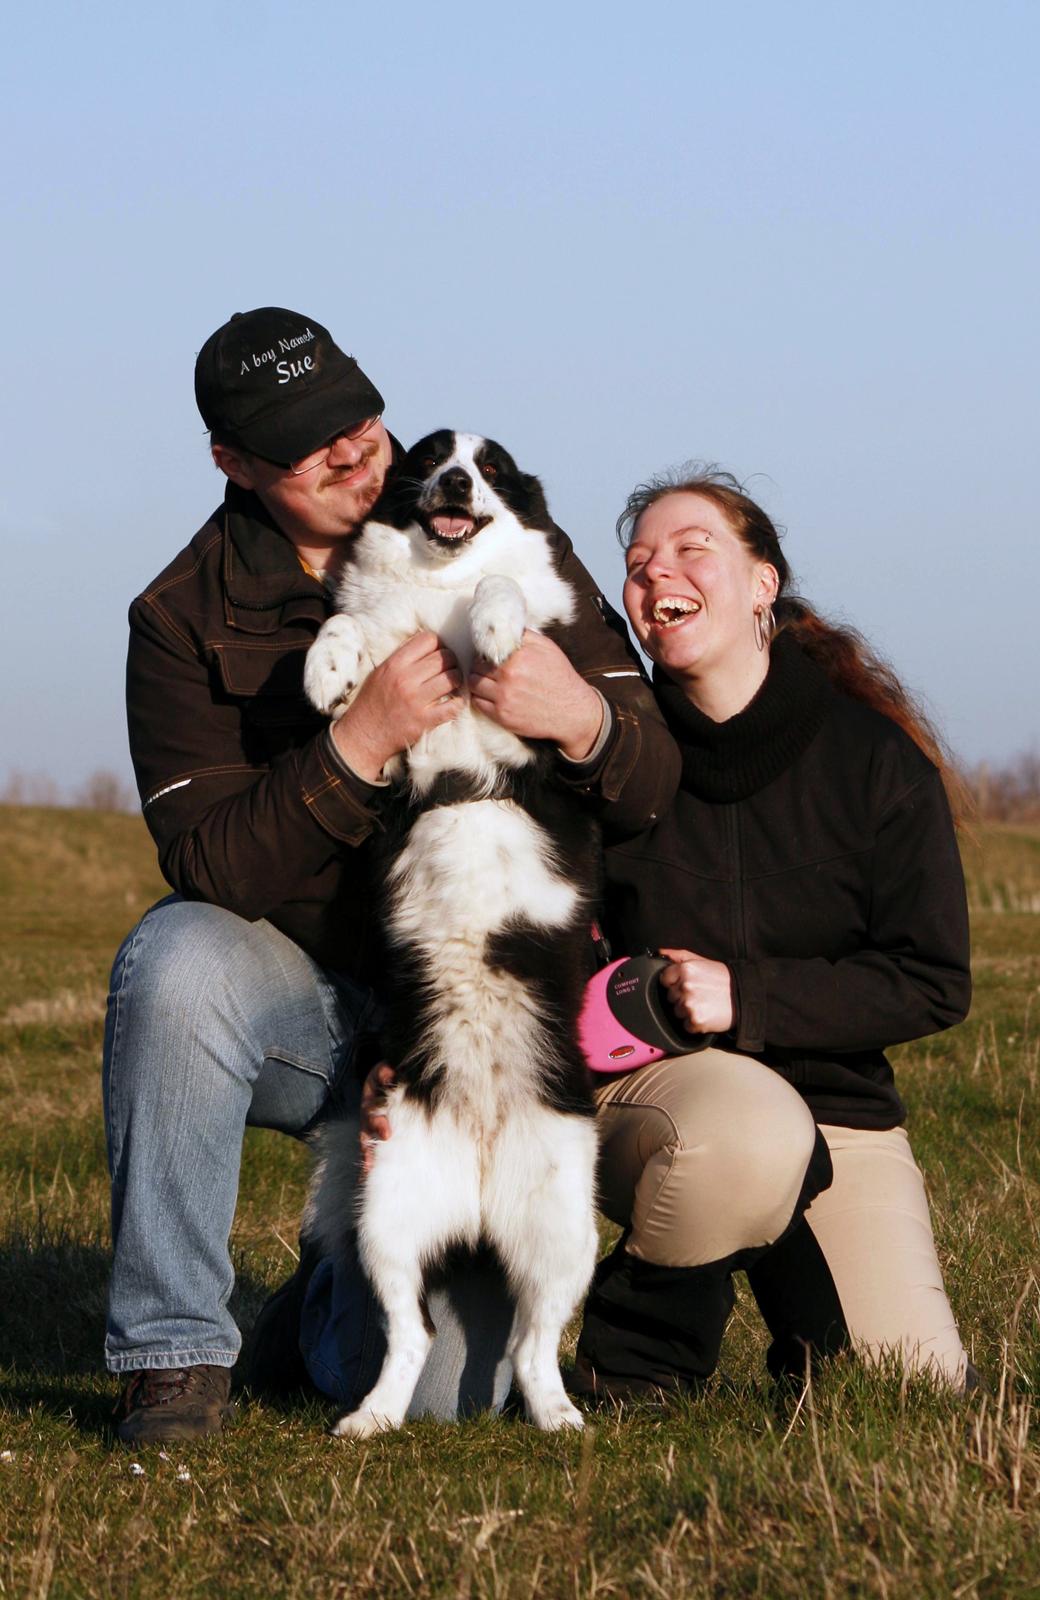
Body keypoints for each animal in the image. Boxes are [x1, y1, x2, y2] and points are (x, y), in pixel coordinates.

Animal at [299, 428, 595, 1440]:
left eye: (493, 465)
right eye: (429, 455)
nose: (457, 482)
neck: (440, 585)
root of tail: (477, 1160)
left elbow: (513, 594)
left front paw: (499, 625)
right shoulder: (391, 733)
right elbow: (351, 632)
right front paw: (325, 670)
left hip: (567, 1231)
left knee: (534, 1347)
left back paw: (559, 1418)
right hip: (386, 1215)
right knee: (413, 1338)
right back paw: (372, 1418)